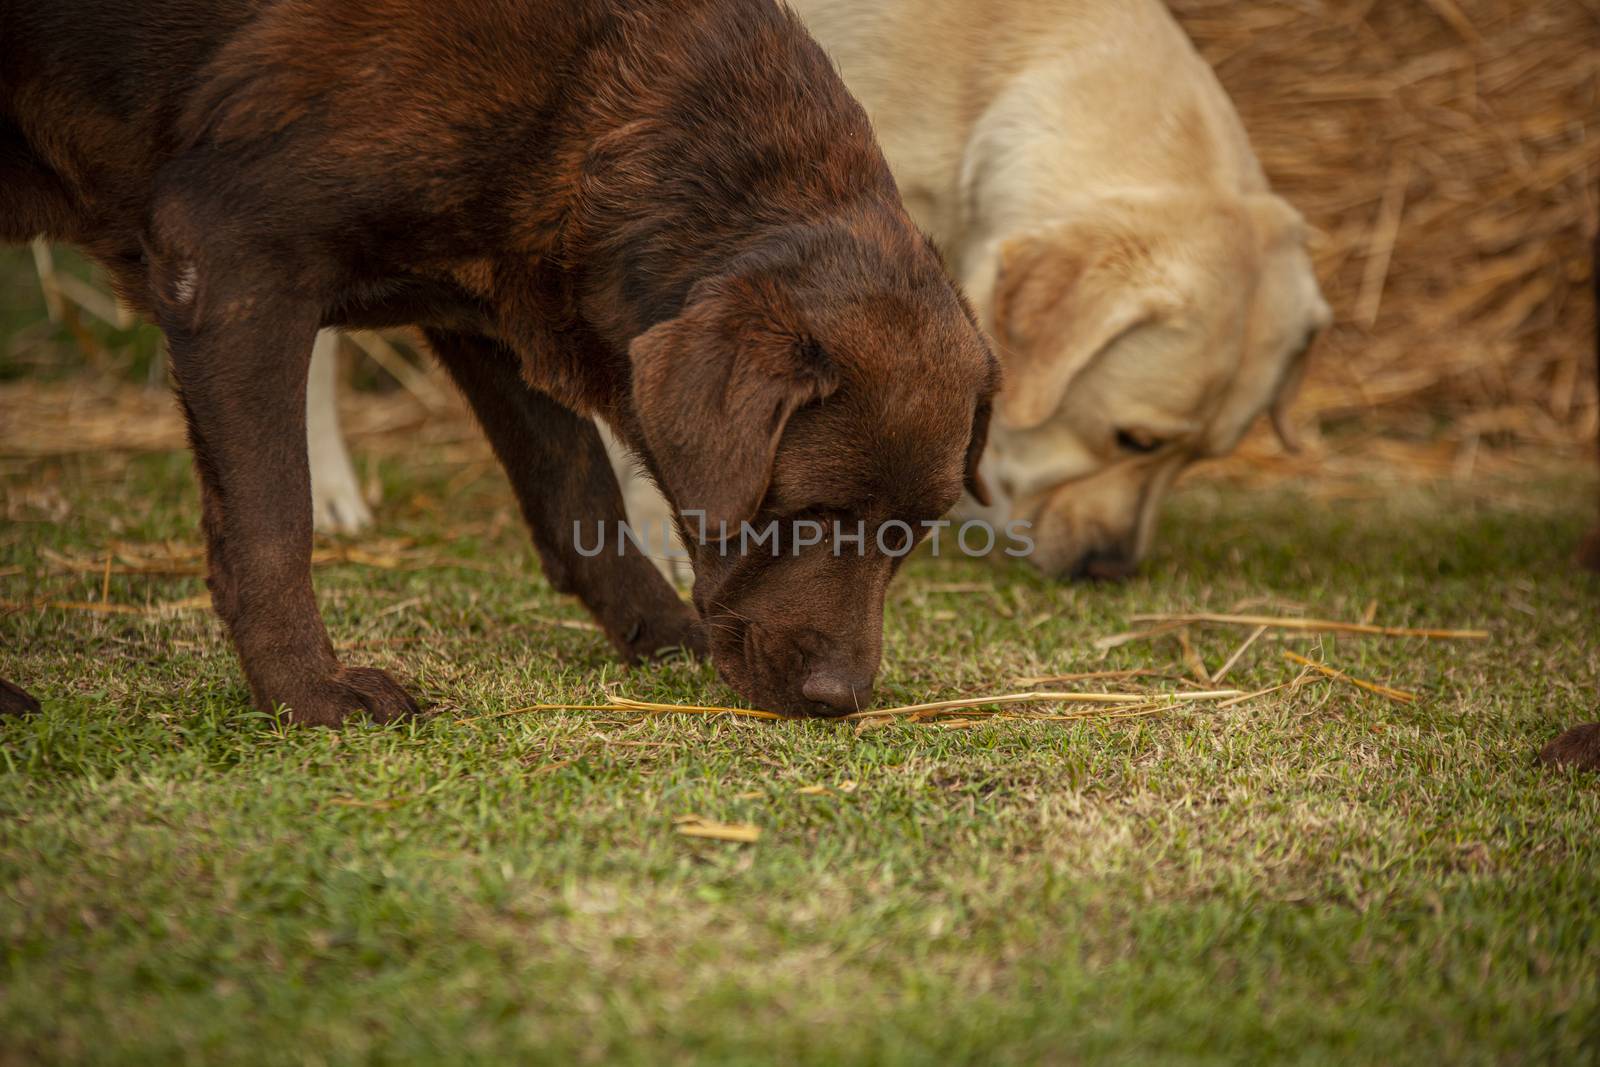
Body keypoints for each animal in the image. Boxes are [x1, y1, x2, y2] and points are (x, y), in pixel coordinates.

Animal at [3, 0, 998, 723]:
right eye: (808, 511)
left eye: (910, 535)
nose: (841, 701)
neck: (591, 96)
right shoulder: (229, 259)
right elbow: (272, 523)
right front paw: (309, 694)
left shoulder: (490, 316)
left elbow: (578, 497)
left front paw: (659, 632)